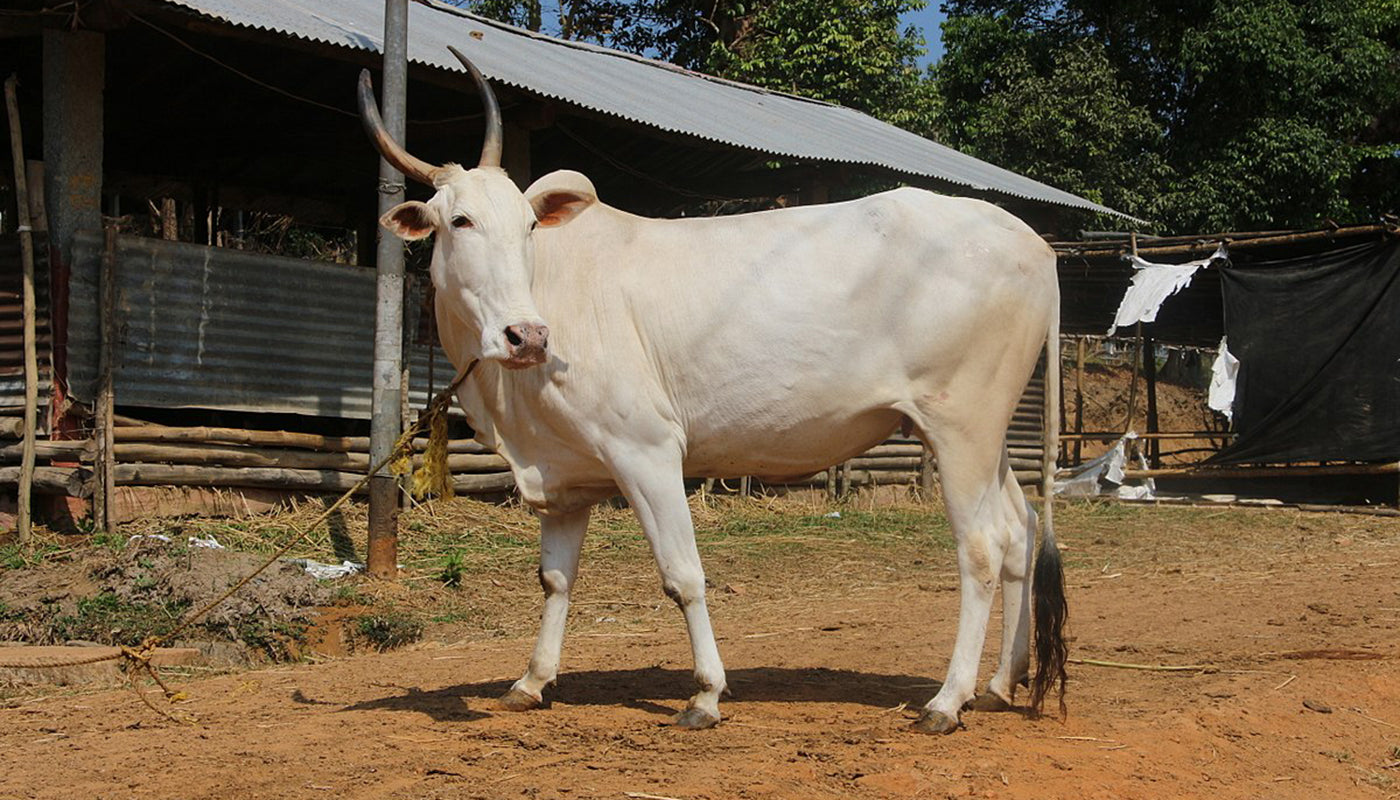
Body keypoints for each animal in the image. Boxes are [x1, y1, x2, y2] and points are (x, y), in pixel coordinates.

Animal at [358, 48, 1067, 734]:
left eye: (528, 226)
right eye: (460, 221)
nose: (526, 335)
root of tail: (1037, 245)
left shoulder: (645, 449)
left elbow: (683, 576)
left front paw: (705, 694)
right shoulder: (567, 475)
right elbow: (556, 580)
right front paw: (531, 682)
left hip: (961, 425)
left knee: (982, 547)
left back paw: (948, 700)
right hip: (986, 434)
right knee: (1021, 529)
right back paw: (1000, 684)